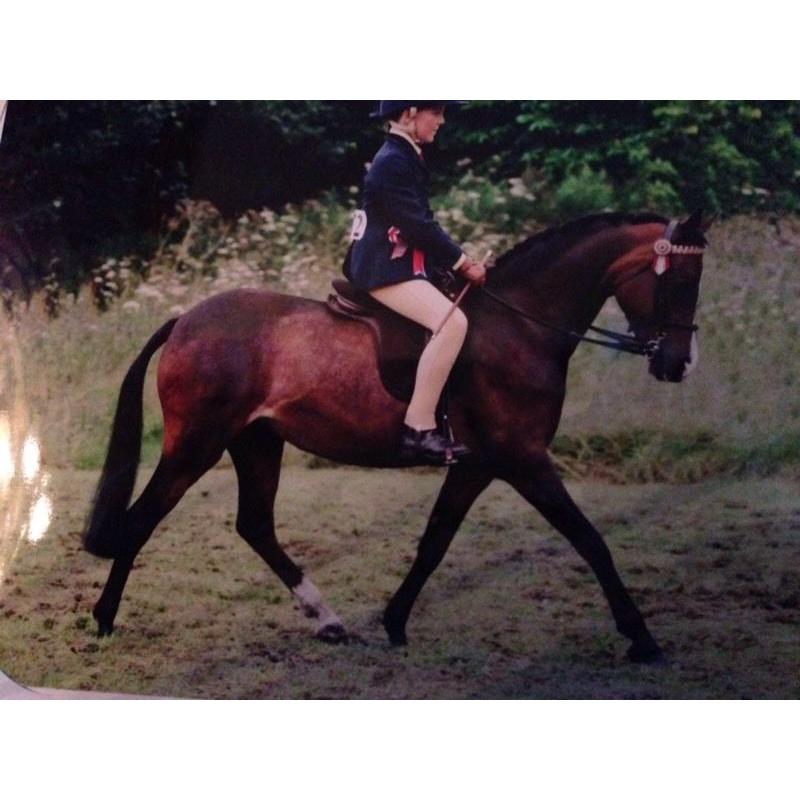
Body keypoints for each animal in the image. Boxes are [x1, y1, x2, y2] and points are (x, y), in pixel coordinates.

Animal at [83, 209, 711, 664]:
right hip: (197, 444)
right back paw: (103, 621)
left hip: (257, 441)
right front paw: (642, 638)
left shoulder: (476, 465)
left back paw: (328, 619)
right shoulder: (524, 459)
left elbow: (434, 541)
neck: (522, 325)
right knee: (143, 519)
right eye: (680, 280)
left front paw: (394, 621)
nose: (679, 364)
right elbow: (590, 539)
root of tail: (184, 320)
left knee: (254, 525)